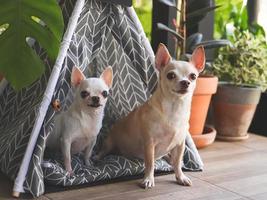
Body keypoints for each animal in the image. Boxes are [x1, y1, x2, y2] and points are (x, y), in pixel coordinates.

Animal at [97, 43, 206, 188]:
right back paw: (96, 158)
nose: (185, 82)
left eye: (193, 76)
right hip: (109, 143)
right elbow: (150, 164)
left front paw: (180, 177)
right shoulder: (149, 144)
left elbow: (177, 163)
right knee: (103, 151)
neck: (174, 108)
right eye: (171, 75)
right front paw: (148, 179)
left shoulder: (179, 145)